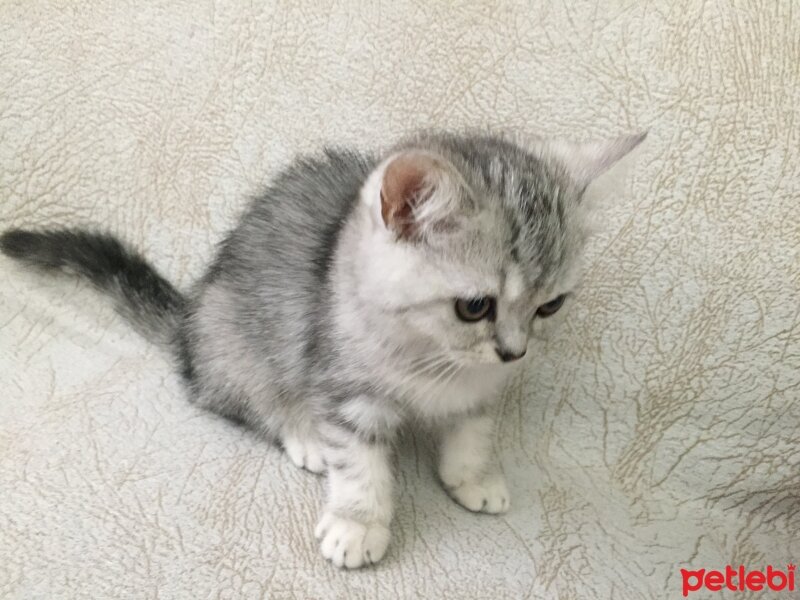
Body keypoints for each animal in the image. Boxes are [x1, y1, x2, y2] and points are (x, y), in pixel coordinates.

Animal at [0, 130, 644, 568]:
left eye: (550, 306)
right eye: (475, 306)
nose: (515, 353)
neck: (431, 358)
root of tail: (189, 321)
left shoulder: (481, 388)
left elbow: (473, 427)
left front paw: (473, 475)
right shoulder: (343, 384)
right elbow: (358, 461)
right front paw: (358, 523)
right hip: (237, 339)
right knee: (240, 399)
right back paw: (302, 432)